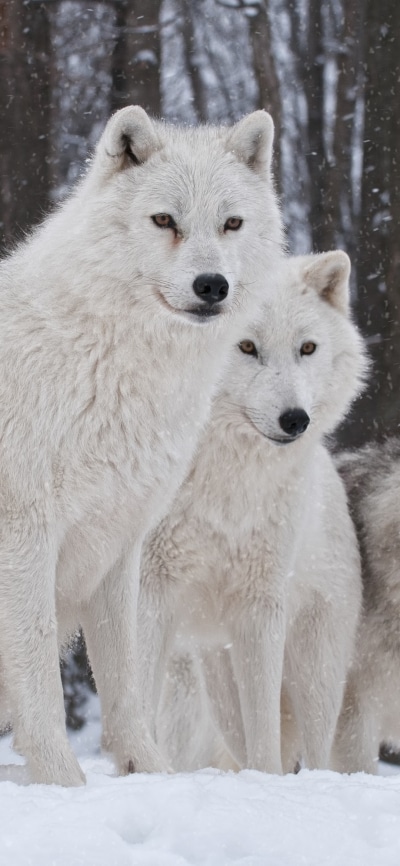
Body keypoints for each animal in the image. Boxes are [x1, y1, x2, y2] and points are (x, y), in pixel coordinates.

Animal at [0, 105, 284, 785]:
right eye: (164, 221)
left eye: (231, 223)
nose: (212, 285)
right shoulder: (26, 535)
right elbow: (40, 676)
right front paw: (63, 784)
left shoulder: (120, 543)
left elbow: (126, 680)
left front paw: (149, 775)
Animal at [139, 251, 367, 774]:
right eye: (245, 346)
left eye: (307, 348)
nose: (295, 420)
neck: (224, 481)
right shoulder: (149, 590)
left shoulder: (261, 606)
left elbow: (265, 731)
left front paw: (267, 784)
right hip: (216, 682)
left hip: (314, 673)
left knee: (314, 751)